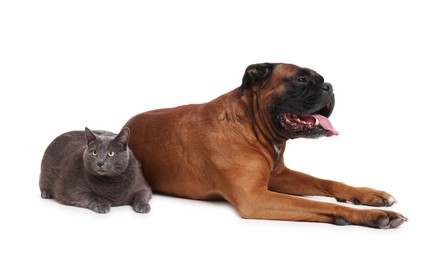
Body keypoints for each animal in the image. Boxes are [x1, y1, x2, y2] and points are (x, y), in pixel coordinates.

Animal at [124, 62, 408, 228]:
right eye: (301, 80)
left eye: (322, 80)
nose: (330, 86)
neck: (251, 126)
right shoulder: (255, 198)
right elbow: (321, 204)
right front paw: (369, 216)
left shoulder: (280, 176)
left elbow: (326, 183)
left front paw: (370, 195)